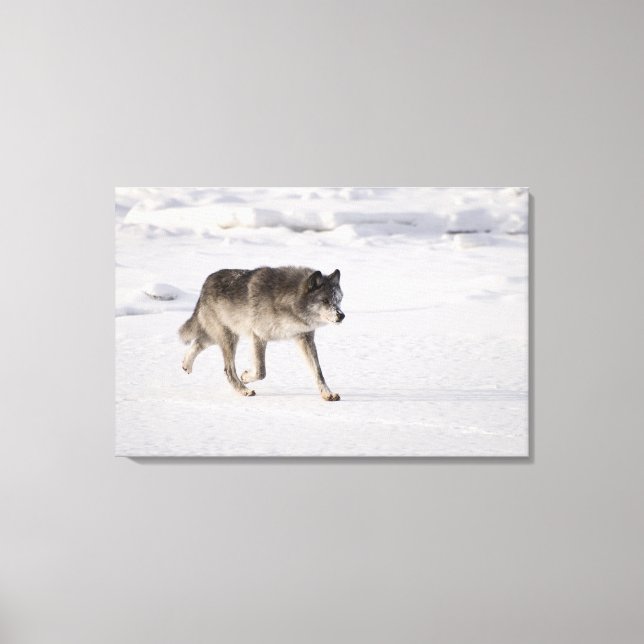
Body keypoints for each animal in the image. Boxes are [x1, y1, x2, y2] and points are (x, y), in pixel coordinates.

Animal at [178, 266, 345, 400]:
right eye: (325, 301)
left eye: (338, 300)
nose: (341, 315)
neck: (288, 301)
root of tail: (206, 283)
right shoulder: (259, 336)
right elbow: (261, 372)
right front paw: (245, 376)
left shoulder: (305, 338)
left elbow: (318, 372)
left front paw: (327, 394)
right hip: (229, 338)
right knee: (228, 370)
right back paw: (244, 391)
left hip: (224, 335)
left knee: (198, 342)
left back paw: (186, 365)